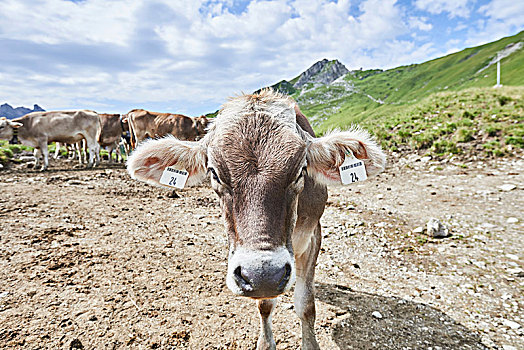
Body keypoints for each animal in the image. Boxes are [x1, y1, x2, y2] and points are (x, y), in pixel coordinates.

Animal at [125, 91, 382, 350]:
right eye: (214, 172)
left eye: (300, 170)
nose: (263, 274)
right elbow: (265, 304)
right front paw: (266, 342)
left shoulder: (312, 234)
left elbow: (306, 304)